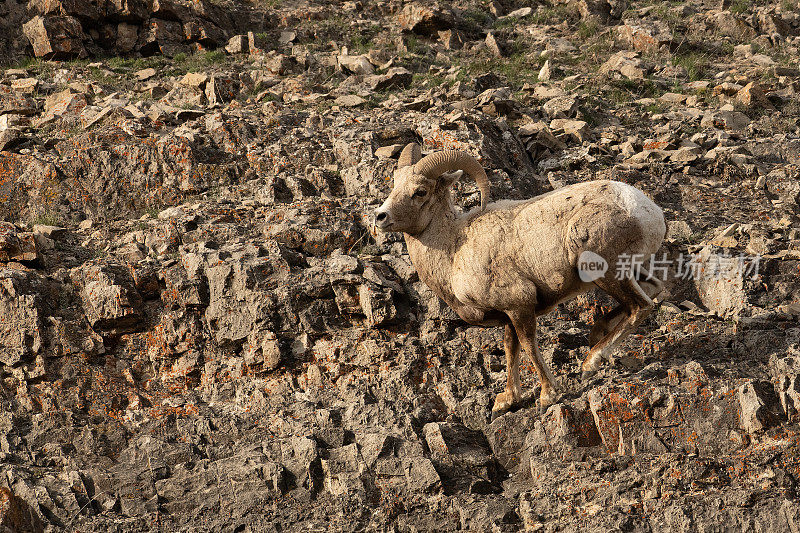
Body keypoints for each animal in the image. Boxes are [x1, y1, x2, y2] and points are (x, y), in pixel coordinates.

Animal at [376, 143, 668, 418]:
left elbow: (528, 345)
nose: (380, 217)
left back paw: (590, 363)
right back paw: (598, 332)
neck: (455, 248)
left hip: (601, 269)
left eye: (420, 191)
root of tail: (648, 212)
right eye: (395, 183)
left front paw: (547, 396)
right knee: (654, 290)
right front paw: (506, 401)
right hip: (626, 271)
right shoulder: (507, 314)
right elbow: (510, 348)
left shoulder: (519, 305)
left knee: (640, 306)